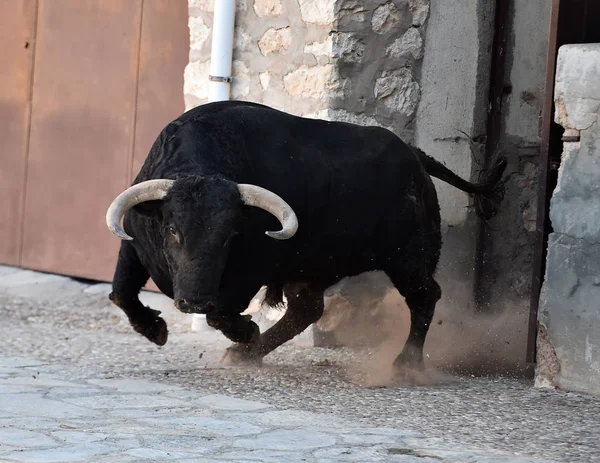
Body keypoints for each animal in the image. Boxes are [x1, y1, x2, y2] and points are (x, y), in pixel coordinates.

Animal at [104, 101, 506, 370]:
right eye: (172, 229)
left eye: (230, 235)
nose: (193, 301)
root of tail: (415, 156)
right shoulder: (135, 247)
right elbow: (121, 291)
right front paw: (155, 329)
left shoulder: (249, 272)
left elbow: (221, 313)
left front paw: (246, 332)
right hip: (315, 267)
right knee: (307, 309)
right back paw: (246, 354)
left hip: (407, 257)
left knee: (425, 295)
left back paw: (404, 365)